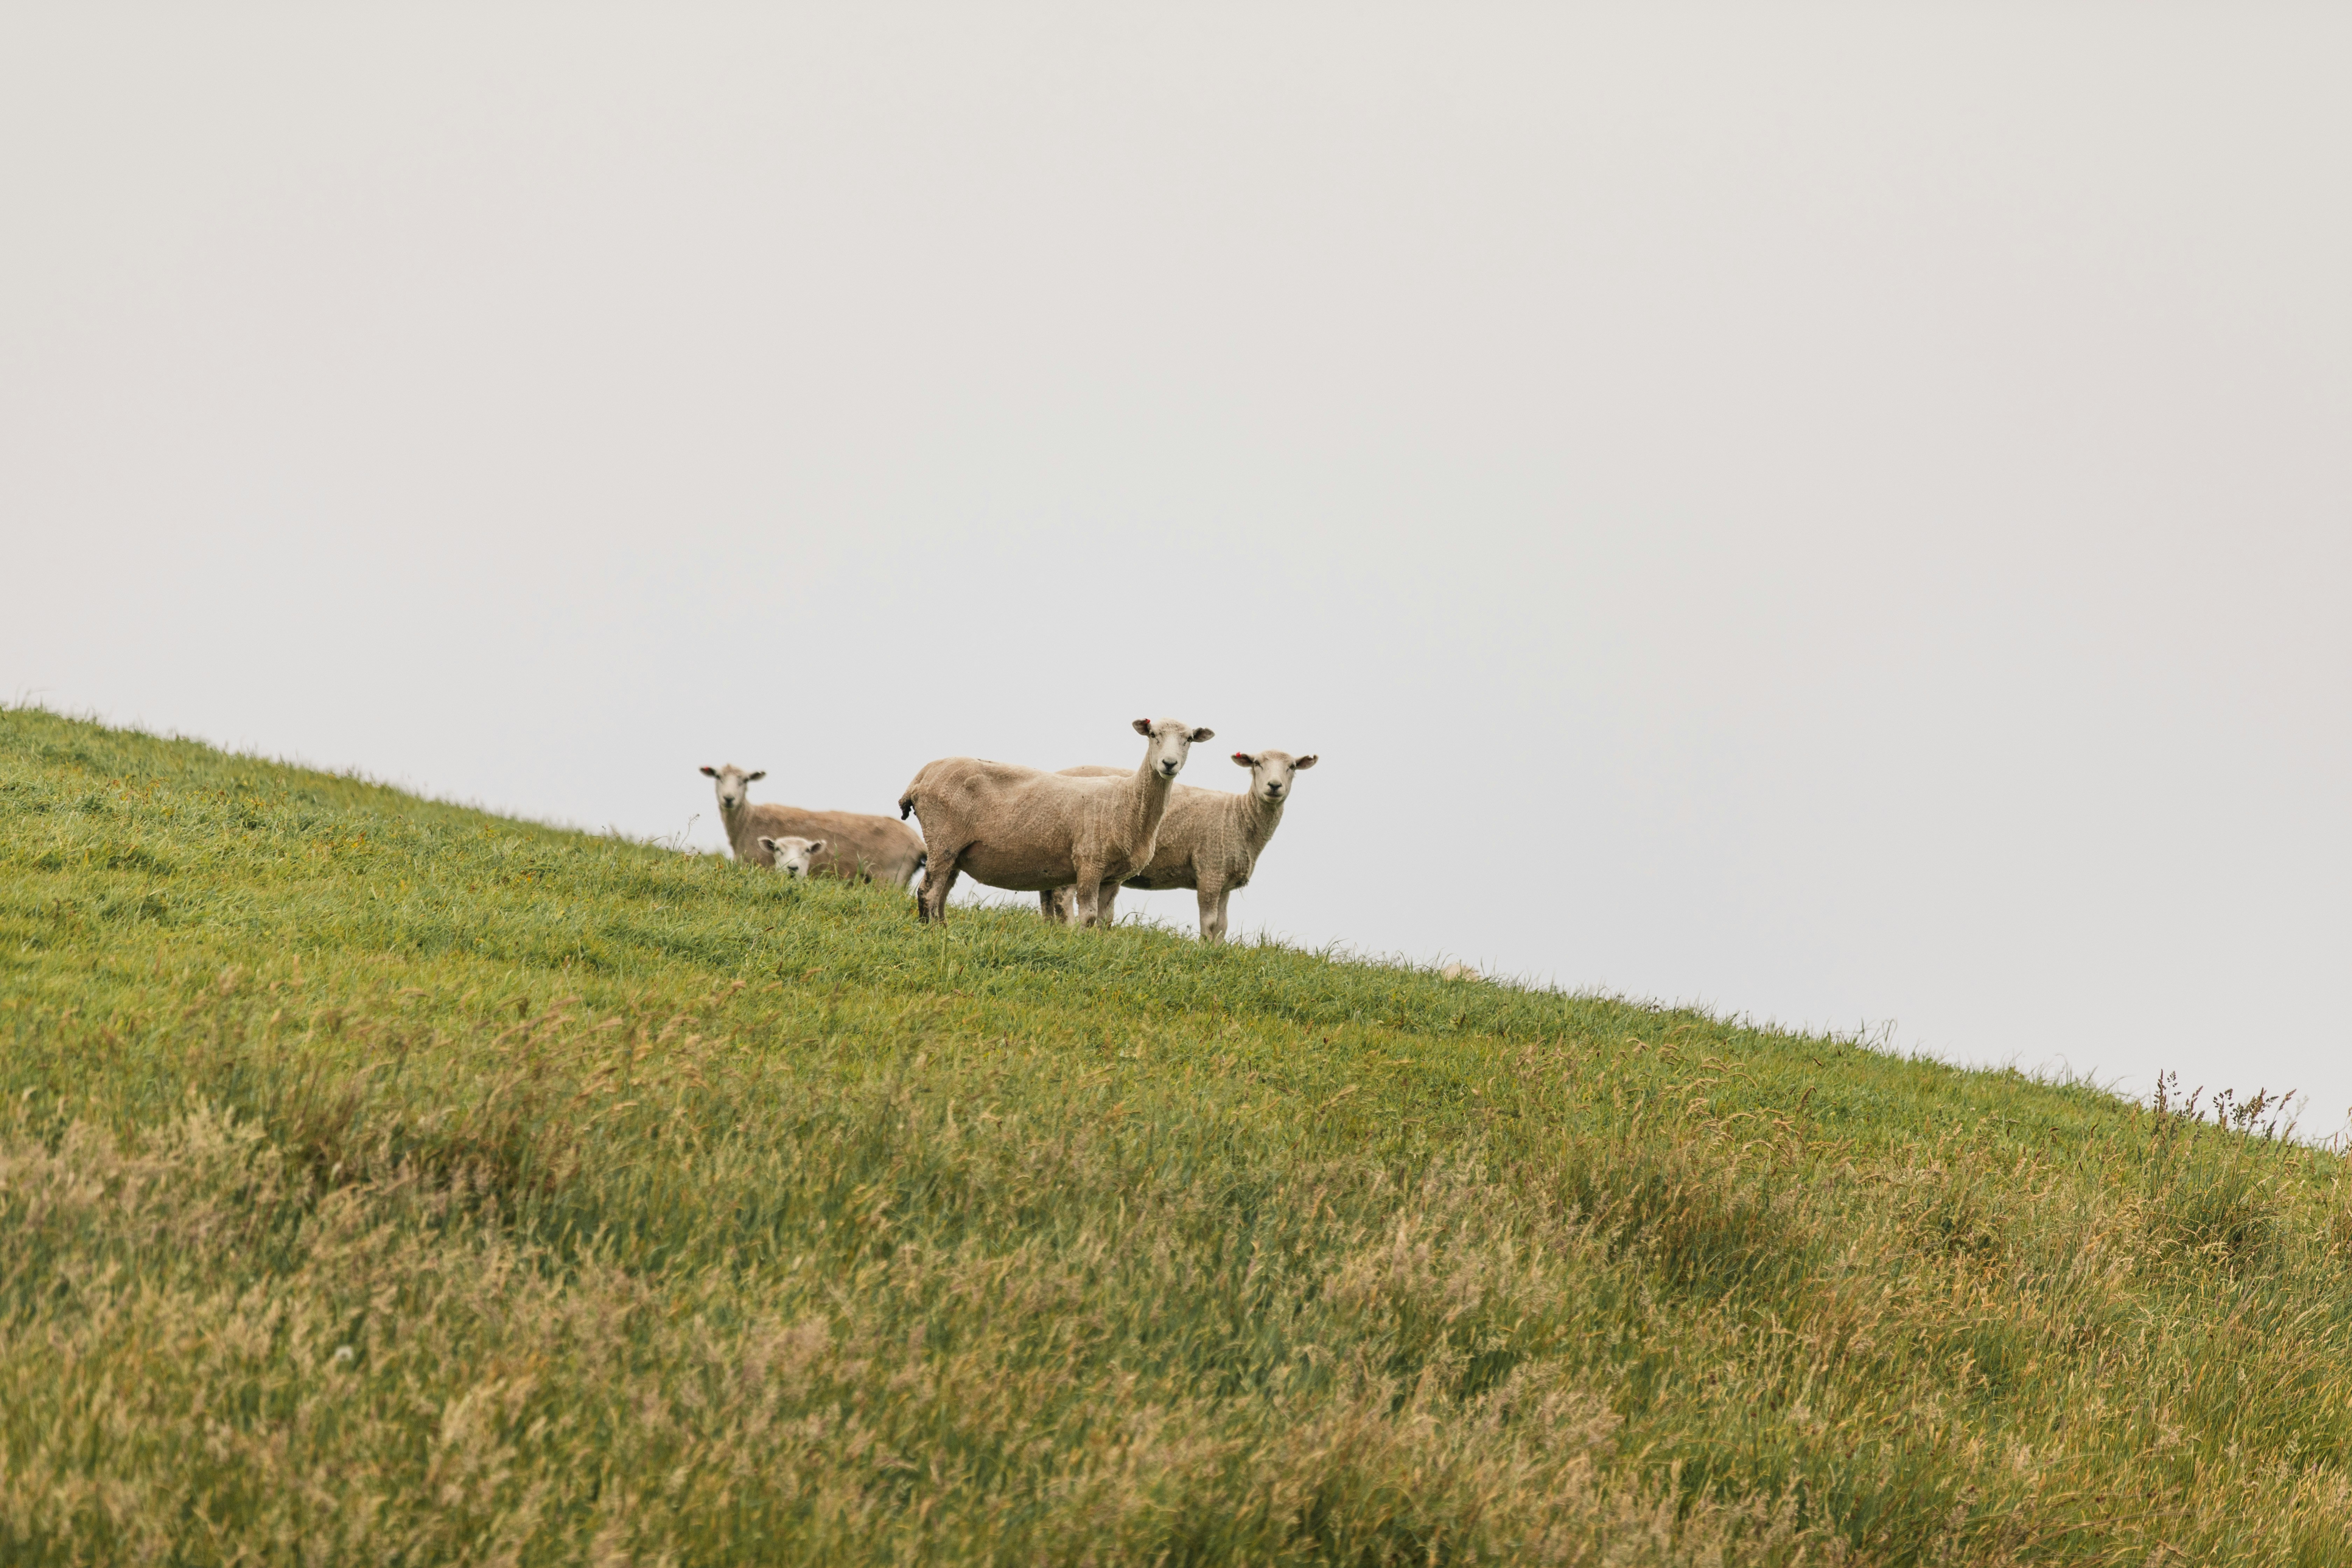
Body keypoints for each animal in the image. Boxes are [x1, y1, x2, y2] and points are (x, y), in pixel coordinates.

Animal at [897, 718, 1214, 928]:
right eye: (1153, 735)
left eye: (1188, 739)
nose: (1169, 764)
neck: (1128, 801)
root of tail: (923, 775)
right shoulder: (1089, 862)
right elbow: (1089, 916)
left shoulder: (1113, 877)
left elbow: (1106, 920)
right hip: (944, 837)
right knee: (928, 892)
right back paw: (932, 933)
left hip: (954, 850)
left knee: (941, 893)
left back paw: (943, 929)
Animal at [1041, 749, 1316, 942]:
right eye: (1258, 764)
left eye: (1292, 767)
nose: (1274, 786)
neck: (1238, 816)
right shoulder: (1210, 871)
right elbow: (1210, 923)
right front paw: (1204, 953)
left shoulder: (1225, 881)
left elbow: (1223, 926)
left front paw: (1218, 953)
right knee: (1063, 896)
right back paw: (1069, 929)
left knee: (1047, 894)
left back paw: (1049, 928)